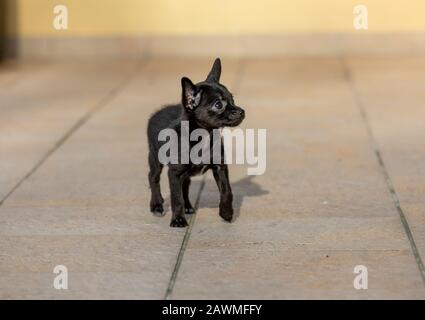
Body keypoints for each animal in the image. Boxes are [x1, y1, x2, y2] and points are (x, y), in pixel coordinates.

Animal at [147, 58, 243, 228]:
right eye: (218, 105)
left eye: (233, 99)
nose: (241, 111)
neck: (203, 136)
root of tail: (158, 112)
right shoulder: (174, 173)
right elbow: (176, 198)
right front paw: (178, 220)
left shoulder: (220, 167)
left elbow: (227, 191)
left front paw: (226, 212)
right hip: (155, 158)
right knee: (153, 177)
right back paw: (157, 205)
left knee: (185, 185)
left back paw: (188, 206)